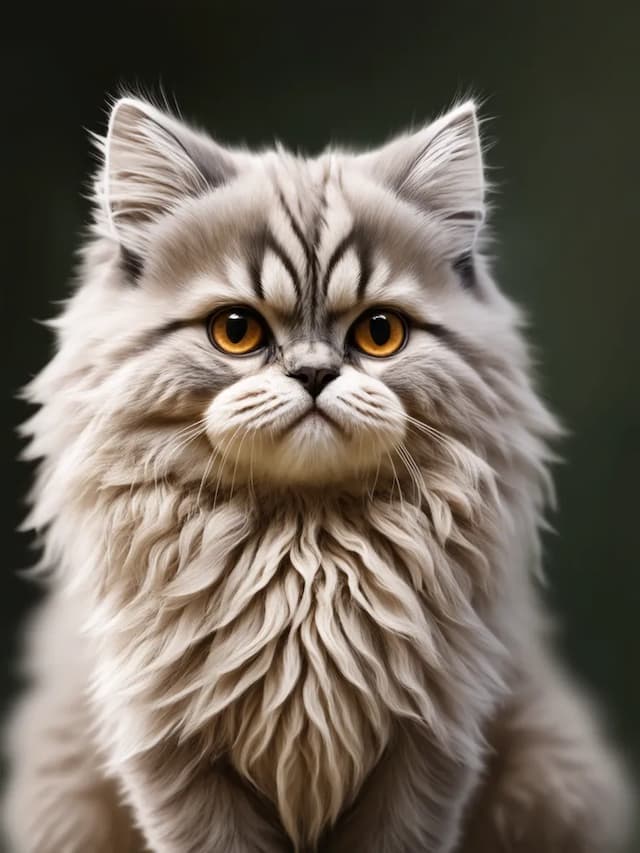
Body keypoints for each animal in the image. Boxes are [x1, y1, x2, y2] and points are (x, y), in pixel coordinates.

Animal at [1, 96, 632, 848]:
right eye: (237, 331)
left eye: (379, 333)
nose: (312, 374)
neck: (306, 551)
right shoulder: (171, 759)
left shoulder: (430, 750)